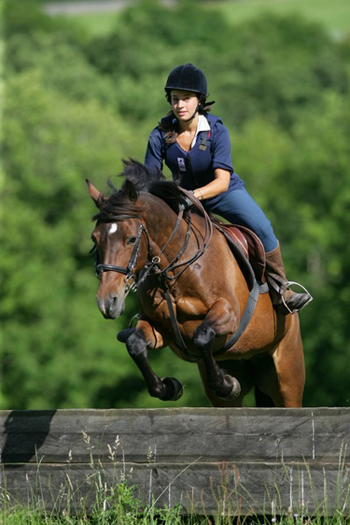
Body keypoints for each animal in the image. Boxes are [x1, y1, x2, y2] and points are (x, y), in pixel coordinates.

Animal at [86, 161, 304, 410]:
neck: (173, 271)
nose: (107, 302)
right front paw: (169, 387)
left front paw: (227, 384)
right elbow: (134, 343)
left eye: (131, 239)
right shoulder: (160, 328)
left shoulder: (229, 313)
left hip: (287, 374)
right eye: (95, 239)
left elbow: (202, 334)